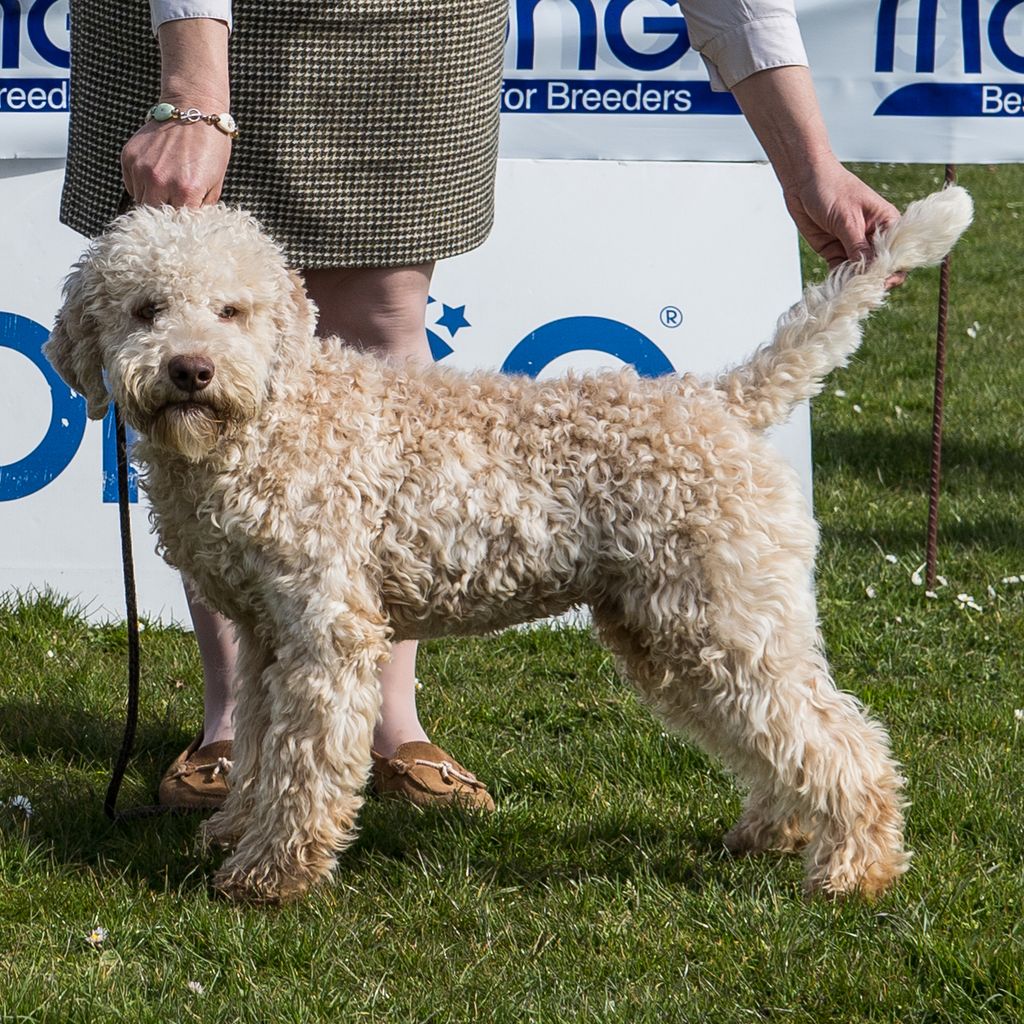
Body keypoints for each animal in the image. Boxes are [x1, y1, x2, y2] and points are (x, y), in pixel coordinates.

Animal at [48, 188, 970, 901]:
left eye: (230, 311)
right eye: (145, 310)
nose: (190, 370)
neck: (271, 420)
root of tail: (719, 401)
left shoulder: (325, 633)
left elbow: (304, 763)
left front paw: (270, 875)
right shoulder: (264, 632)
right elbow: (260, 746)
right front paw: (234, 830)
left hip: (722, 616)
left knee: (840, 739)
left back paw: (856, 868)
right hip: (673, 628)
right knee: (775, 734)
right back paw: (774, 831)